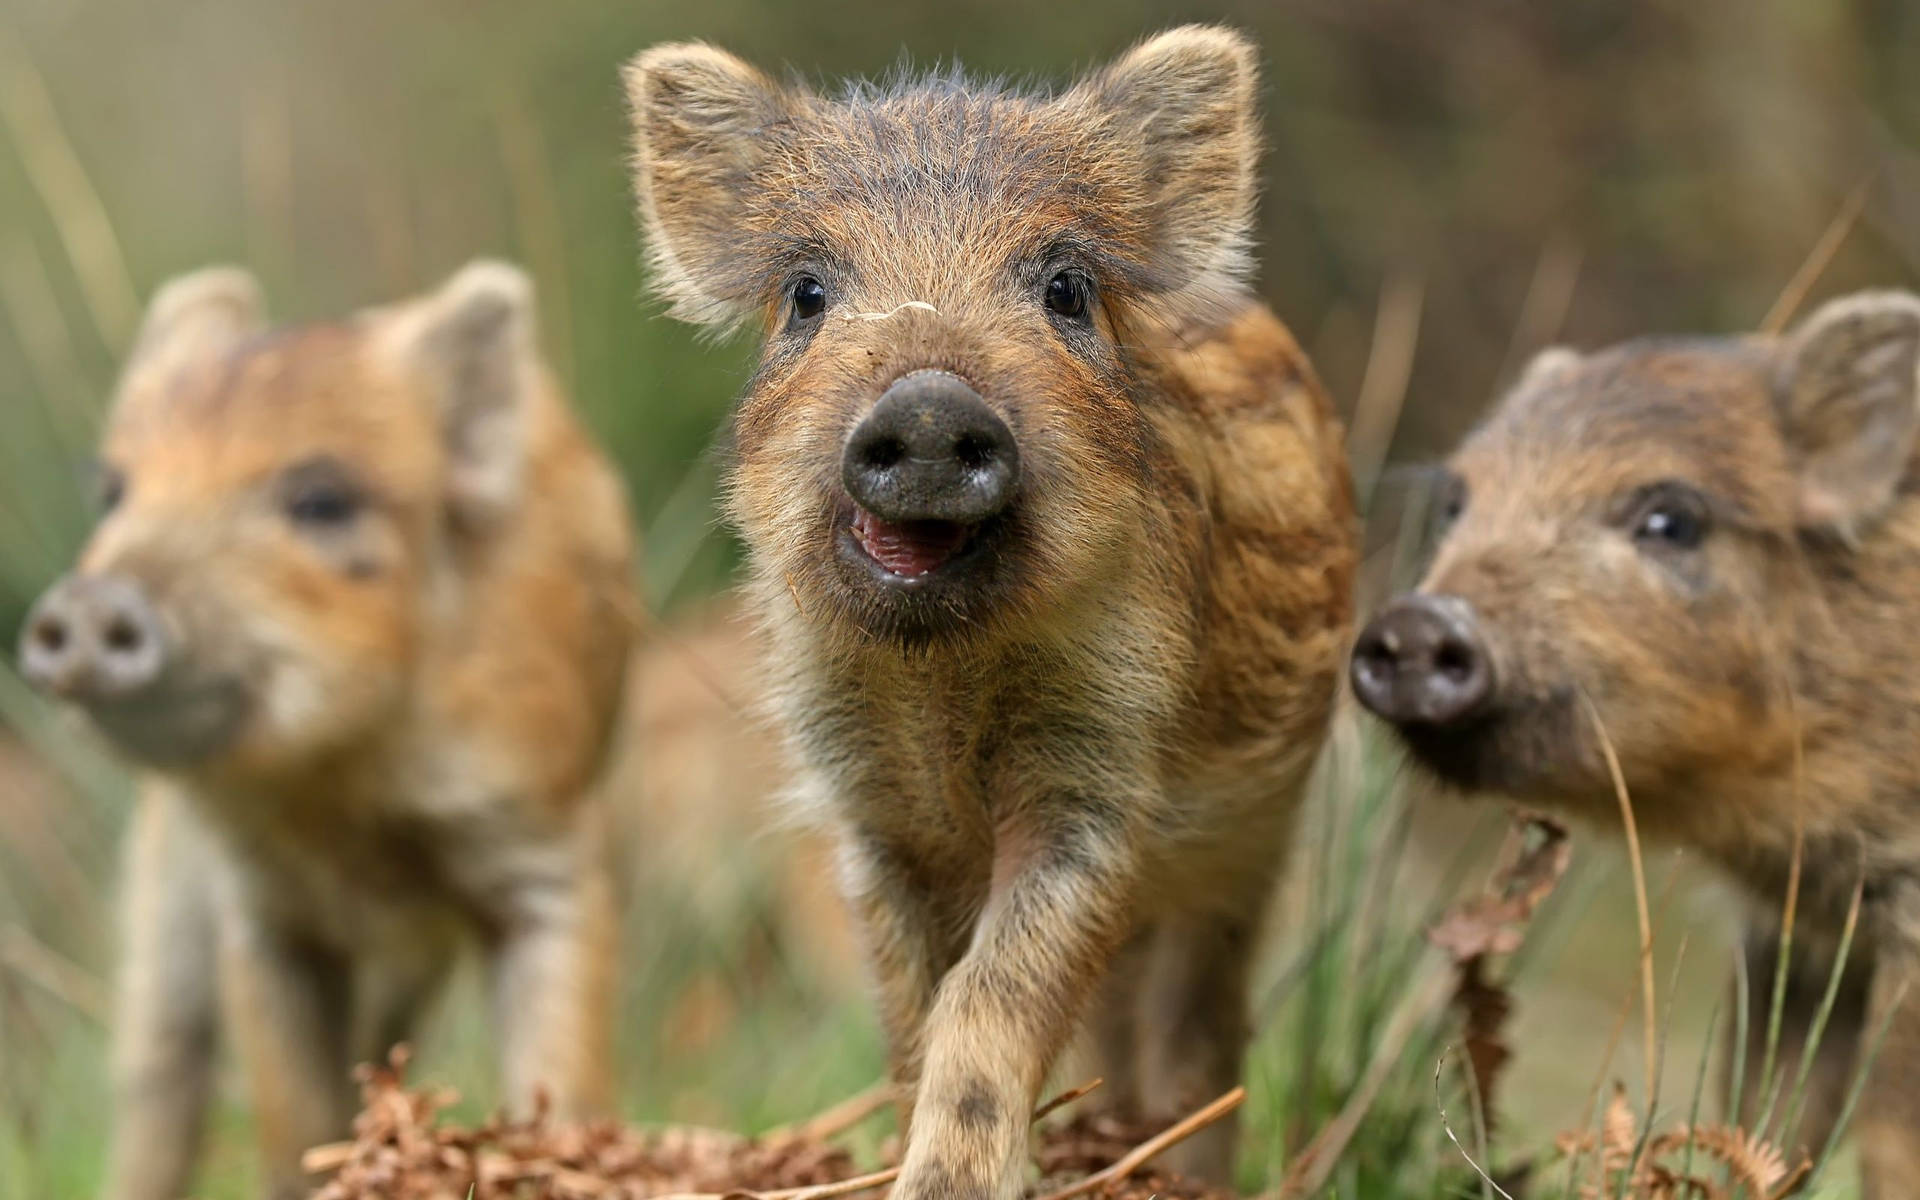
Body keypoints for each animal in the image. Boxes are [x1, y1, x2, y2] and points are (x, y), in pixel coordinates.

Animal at [16, 261, 637, 1200]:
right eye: (114, 493)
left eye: (320, 499)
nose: (89, 601)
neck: (343, 789)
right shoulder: (257, 907)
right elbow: (291, 1118)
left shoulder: (550, 853)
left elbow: (562, 1075)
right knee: (160, 1074)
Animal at [621, 25, 1356, 1200]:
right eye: (806, 293)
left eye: (1066, 288)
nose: (928, 406)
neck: (939, 684)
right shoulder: (865, 812)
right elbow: (913, 1012)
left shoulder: (1097, 778)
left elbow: (992, 991)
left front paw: (953, 1183)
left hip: (1251, 851)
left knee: (1199, 1026)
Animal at [1349, 290, 1920, 1196]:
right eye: (1457, 503)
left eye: (1671, 520)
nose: (1417, 622)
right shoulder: (1793, 934)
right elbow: (1769, 1110)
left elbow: (1891, 1132)